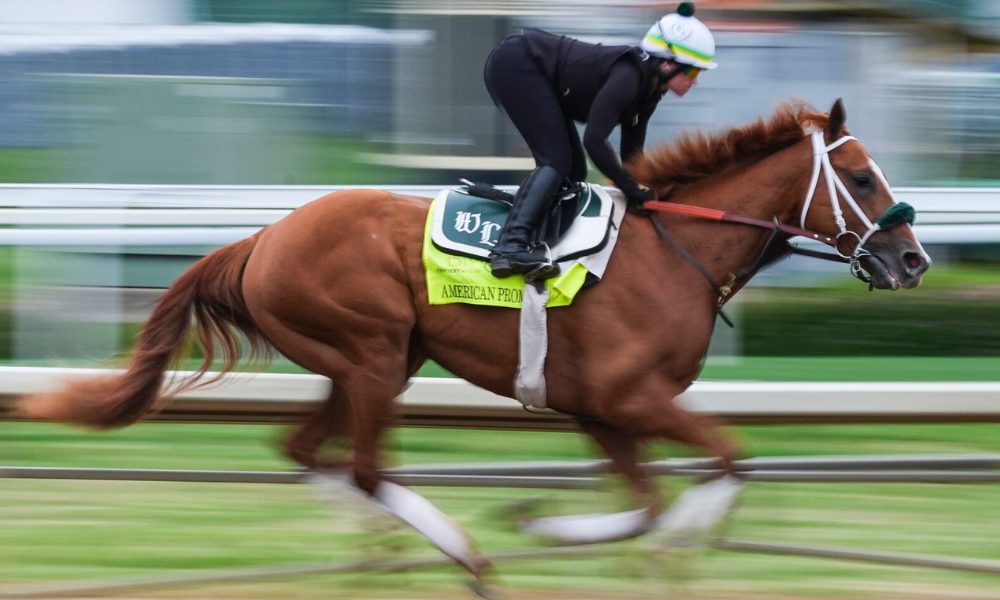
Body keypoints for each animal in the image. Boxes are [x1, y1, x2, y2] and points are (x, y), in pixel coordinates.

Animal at [19, 99, 931, 586]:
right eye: (859, 177)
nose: (913, 260)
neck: (678, 252)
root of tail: (261, 238)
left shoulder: (601, 411)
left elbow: (652, 503)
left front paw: (561, 527)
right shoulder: (628, 398)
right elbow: (731, 458)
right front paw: (595, 534)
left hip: (368, 362)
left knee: (309, 452)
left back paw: (392, 559)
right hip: (371, 352)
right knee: (364, 468)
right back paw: (466, 560)